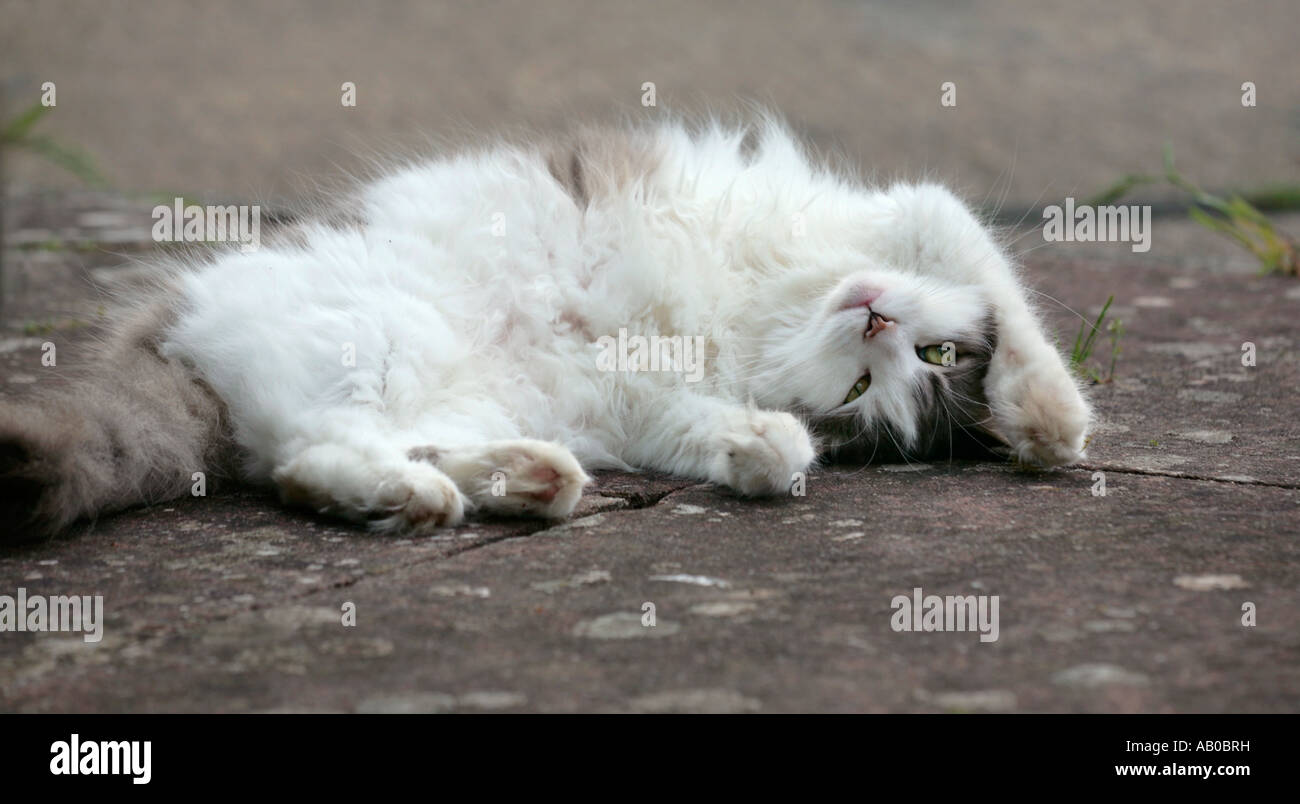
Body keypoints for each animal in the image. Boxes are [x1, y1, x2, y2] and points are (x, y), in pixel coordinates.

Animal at [0, 114, 1086, 538]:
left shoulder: (653, 401)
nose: (876, 314)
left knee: (315, 463)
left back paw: (508, 484)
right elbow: (991, 271)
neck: (777, 312)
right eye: (908, 360)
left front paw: (760, 450)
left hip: (439, 387)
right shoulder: (889, 214)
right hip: (379, 337)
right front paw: (1048, 420)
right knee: (314, 454)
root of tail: (174, 344)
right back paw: (442, 497)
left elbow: (755, 442)